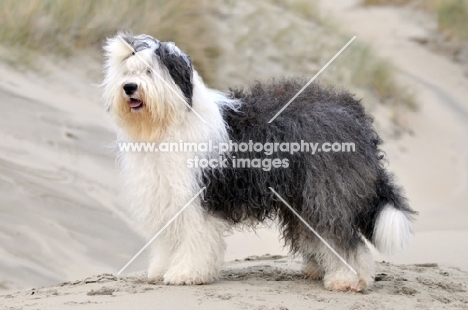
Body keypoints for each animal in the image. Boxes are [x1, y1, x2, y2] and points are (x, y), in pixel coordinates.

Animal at [102, 31, 416, 290]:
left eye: (149, 71)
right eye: (126, 72)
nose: (129, 87)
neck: (169, 123)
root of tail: (353, 113)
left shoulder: (197, 197)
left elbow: (195, 237)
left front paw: (186, 273)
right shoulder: (164, 195)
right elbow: (168, 239)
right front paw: (161, 269)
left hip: (326, 192)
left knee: (339, 236)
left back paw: (347, 279)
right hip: (301, 198)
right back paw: (320, 270)